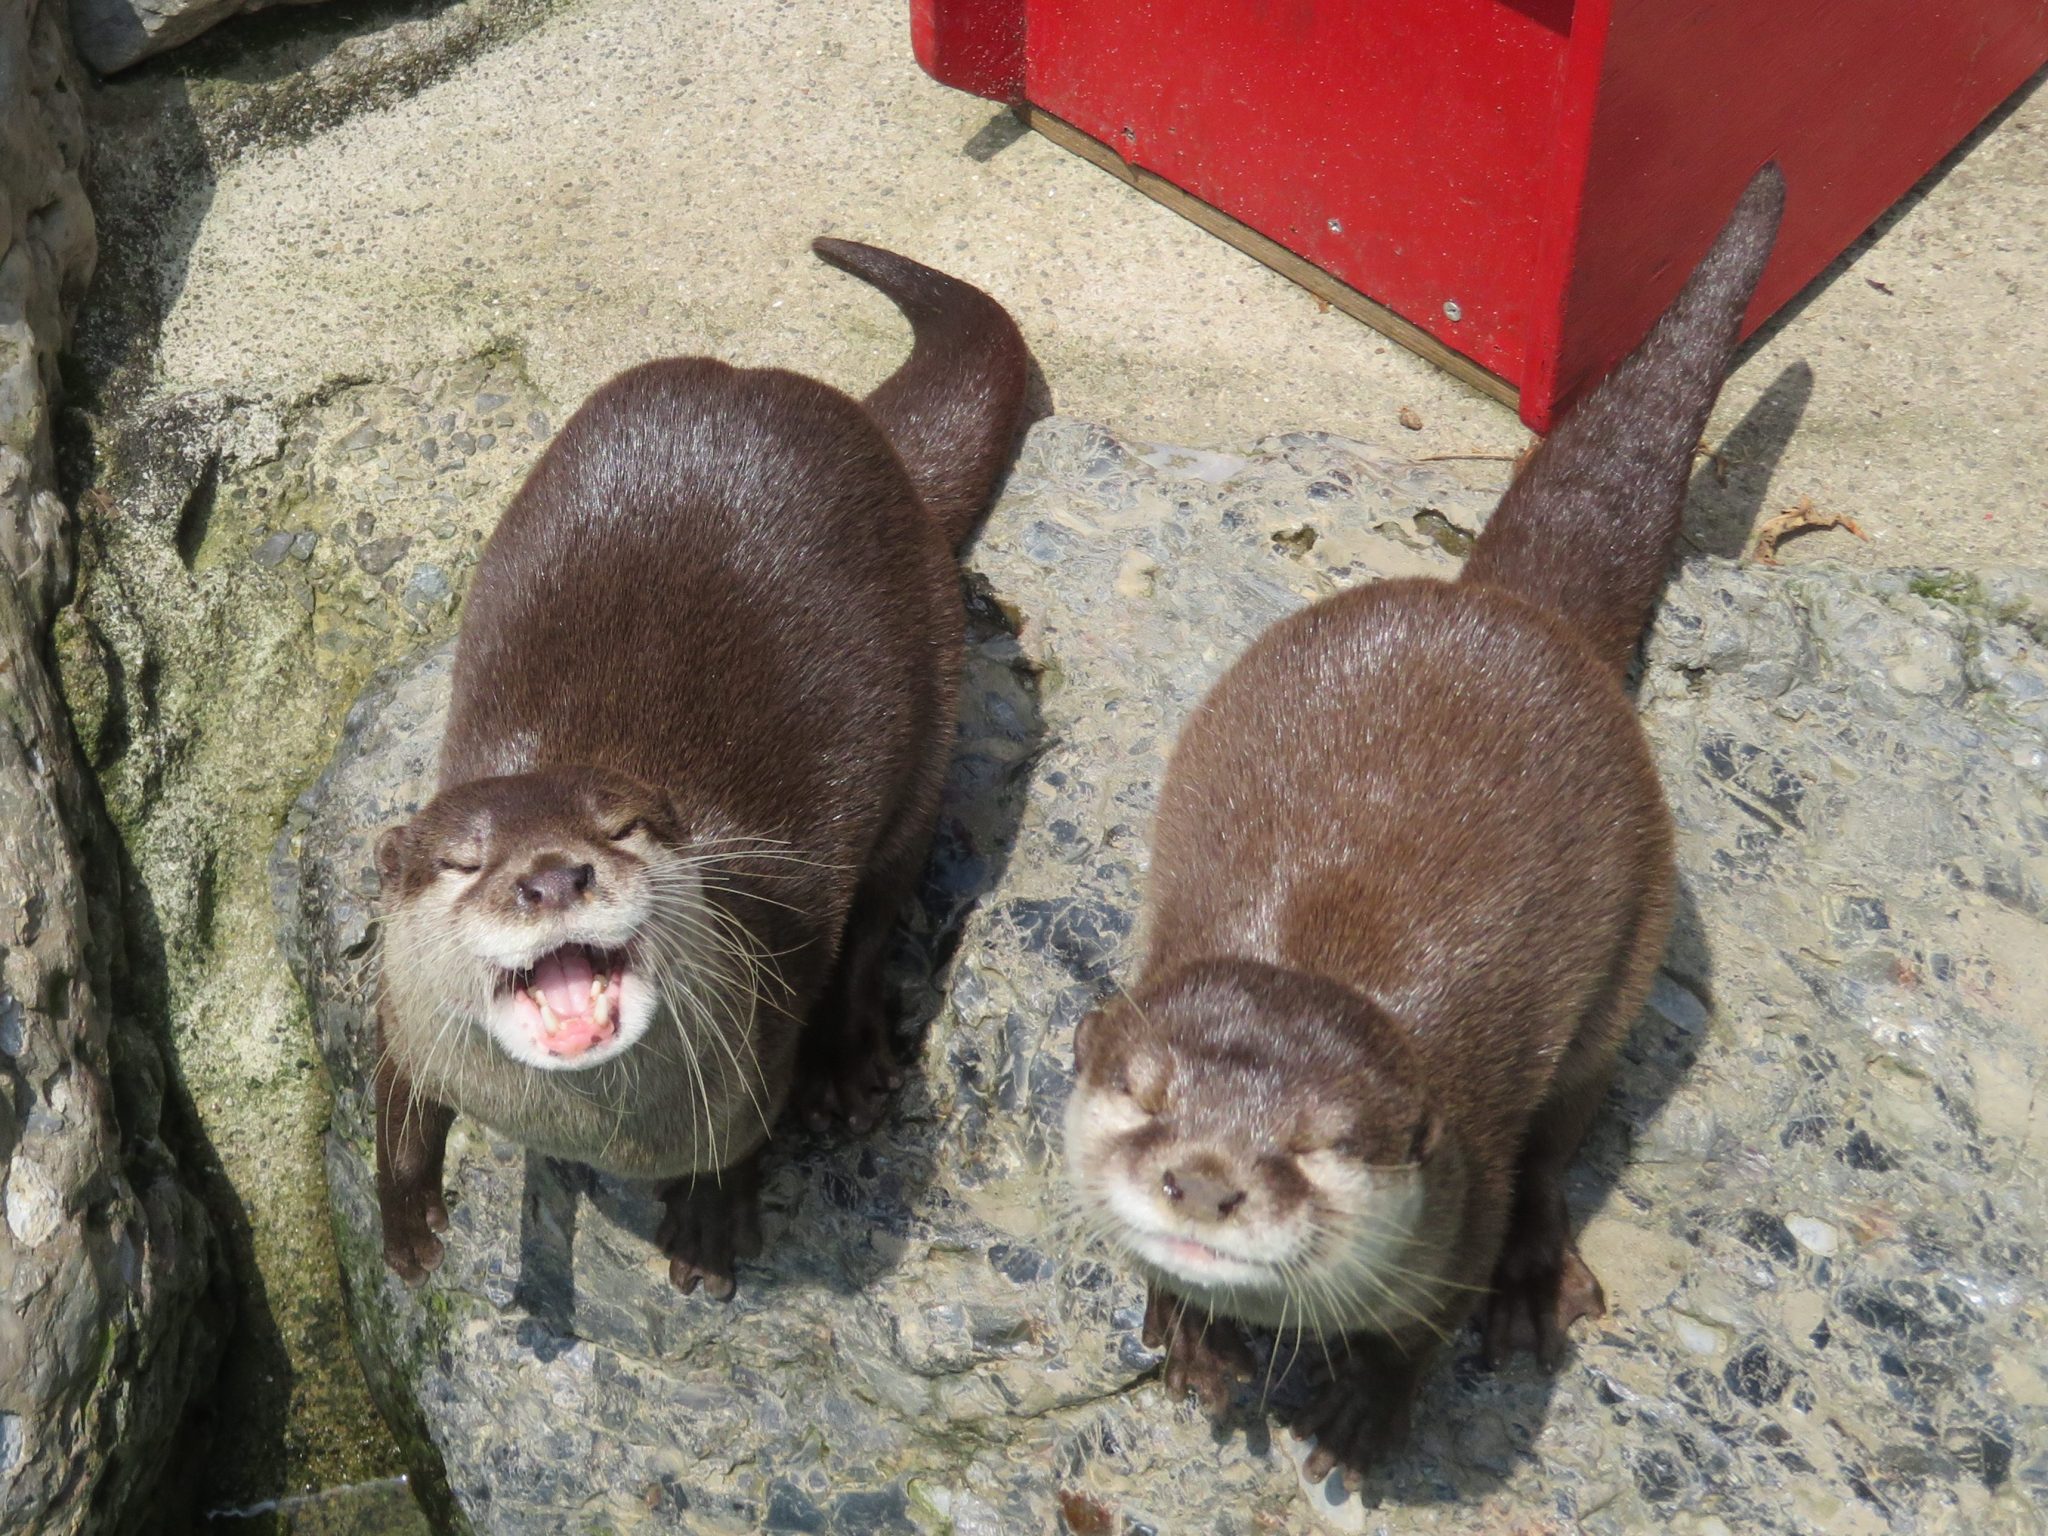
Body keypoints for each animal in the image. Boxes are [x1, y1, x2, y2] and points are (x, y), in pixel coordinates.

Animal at [373, 238, 1029, 1298]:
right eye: (465, 862)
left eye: (620, 828)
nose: (553, 876)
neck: (588, 1130)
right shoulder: (401, 1008)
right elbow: (389, 1096)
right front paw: (407, 1222)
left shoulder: (758, 1033)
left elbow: (744, 1135)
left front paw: (709, 1229)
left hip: (933, 695)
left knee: (880, 905)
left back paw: (849, 1070)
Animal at [1064, 166, 1786, 1481]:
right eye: (1145, 1102)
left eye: (1311, 1149)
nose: (1203, 1183)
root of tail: (1507, 606)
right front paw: (1187, 1335)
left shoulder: (1459, 1201)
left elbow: (1424, 1328)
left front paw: (1363, 1415)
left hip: (1625, 960)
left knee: (1561, 1138)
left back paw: (1536, 1284)